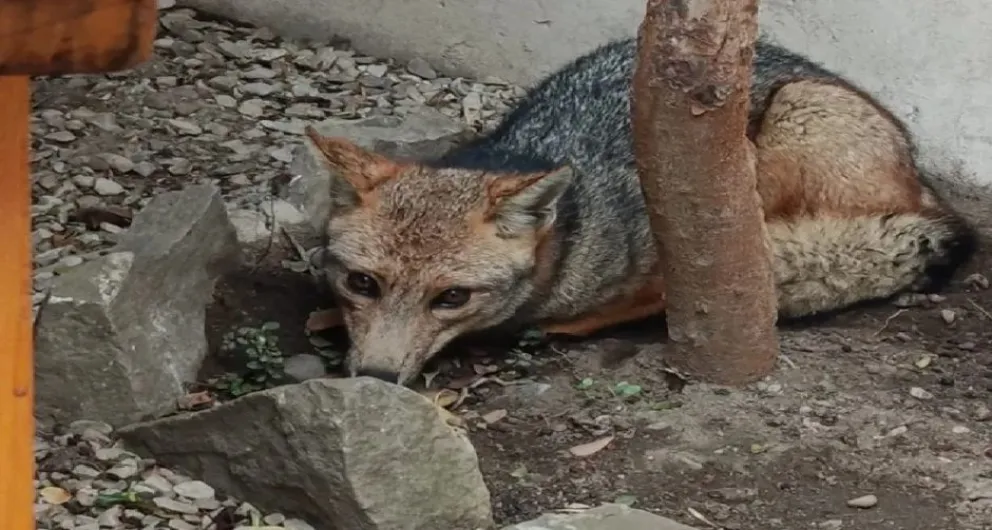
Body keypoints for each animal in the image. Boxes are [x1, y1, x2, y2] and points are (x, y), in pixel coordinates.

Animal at [302, 36, 978, 386]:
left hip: (783, 124)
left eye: (452, 298)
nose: (375, 378)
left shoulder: (688, 258)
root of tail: (930, 198)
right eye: (361, 283)